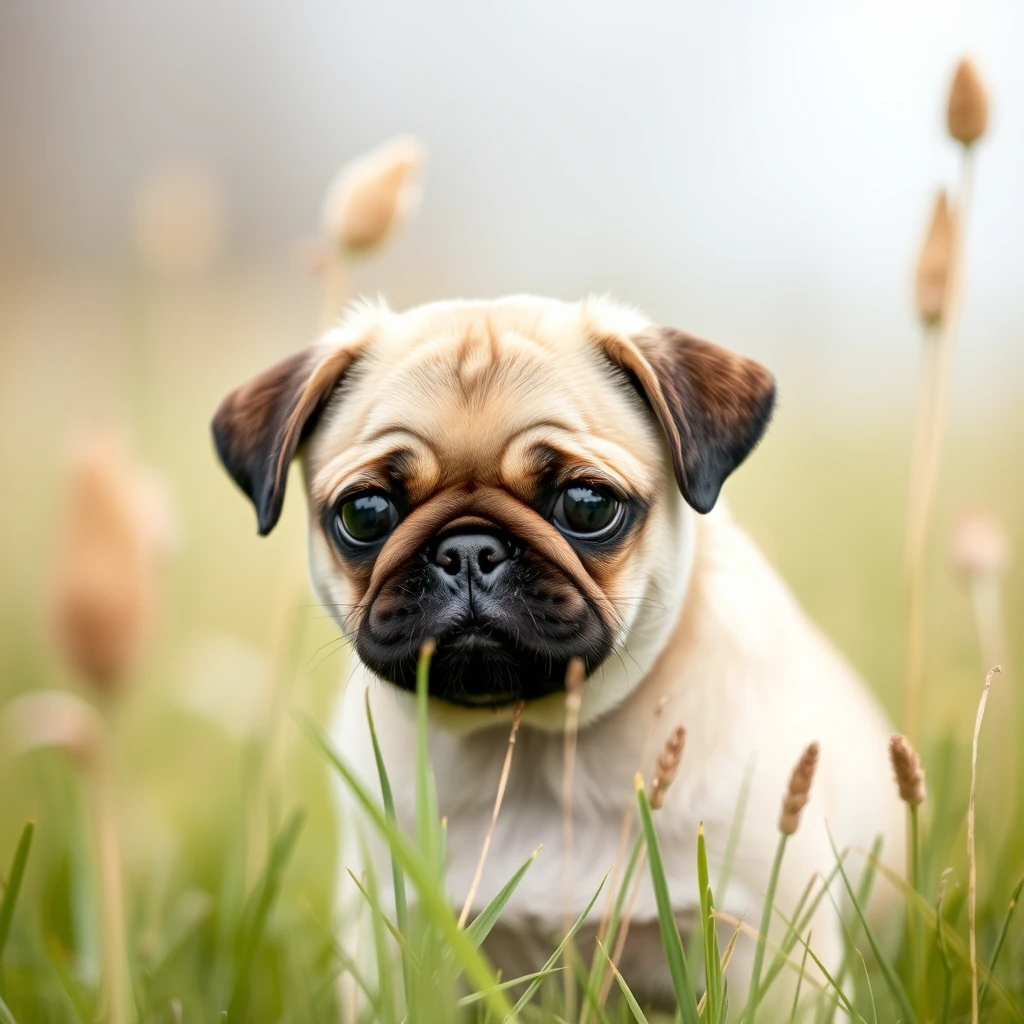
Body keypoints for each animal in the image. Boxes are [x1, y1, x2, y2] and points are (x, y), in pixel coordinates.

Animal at [211, 294, 901, 1007]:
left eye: (588, 505)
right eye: (366, 514)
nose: (468, 550)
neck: (537, 749)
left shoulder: (771, 948)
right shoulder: (392, 946)